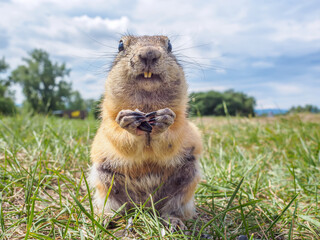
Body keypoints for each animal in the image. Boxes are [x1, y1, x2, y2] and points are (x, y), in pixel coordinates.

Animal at [87, 35, 202, 229]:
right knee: (114, 207)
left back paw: (174, 222)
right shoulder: (108, 121)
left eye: (170, 45)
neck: (147, 106)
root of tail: (145, 207)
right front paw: (128, 121)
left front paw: (164, 120)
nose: (149, 53)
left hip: (187, 181)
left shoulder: (182, 121)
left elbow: (174, 135)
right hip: (104, 184)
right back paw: (105, 218)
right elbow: (117, 136)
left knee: (172, 208)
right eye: (120, 44)